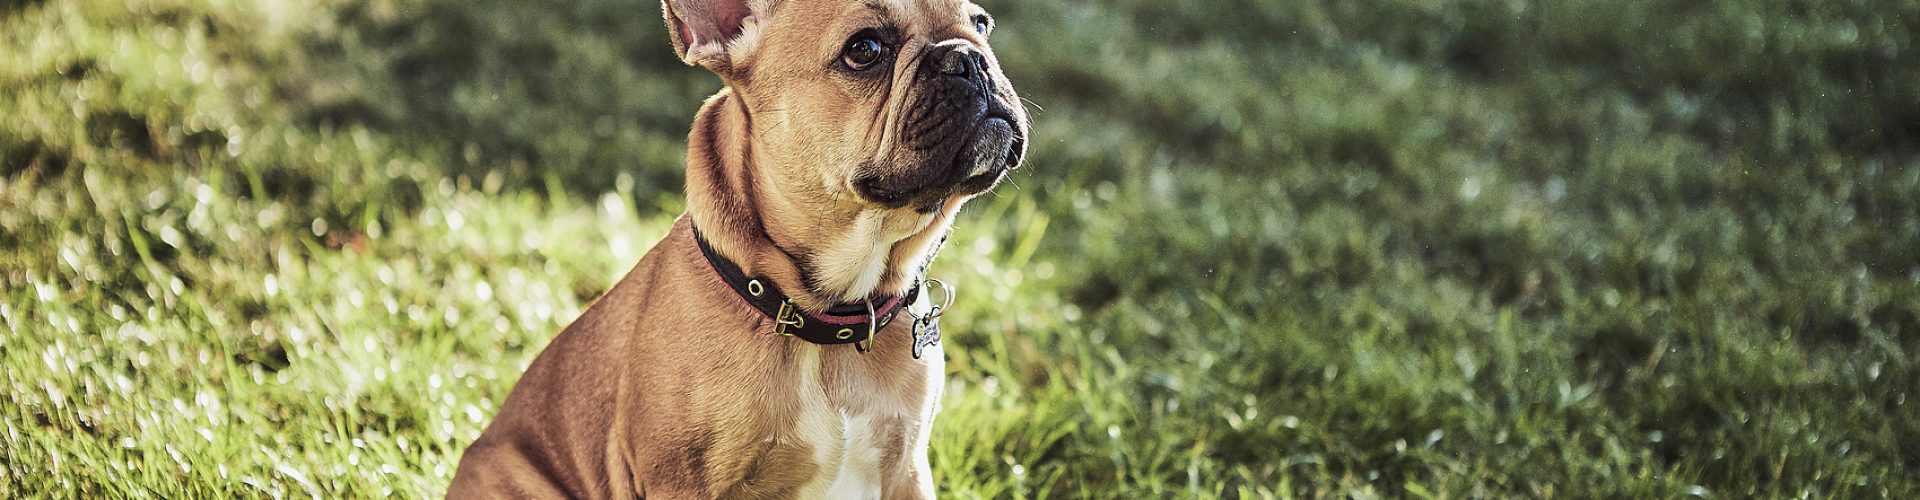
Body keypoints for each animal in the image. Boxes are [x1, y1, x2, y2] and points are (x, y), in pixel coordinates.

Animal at [449, 0, 1029, 496]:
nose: (968, 59)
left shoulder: (906, 469)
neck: (825, 316)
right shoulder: (683, 484)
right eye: (865, 49)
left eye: (982, 24)